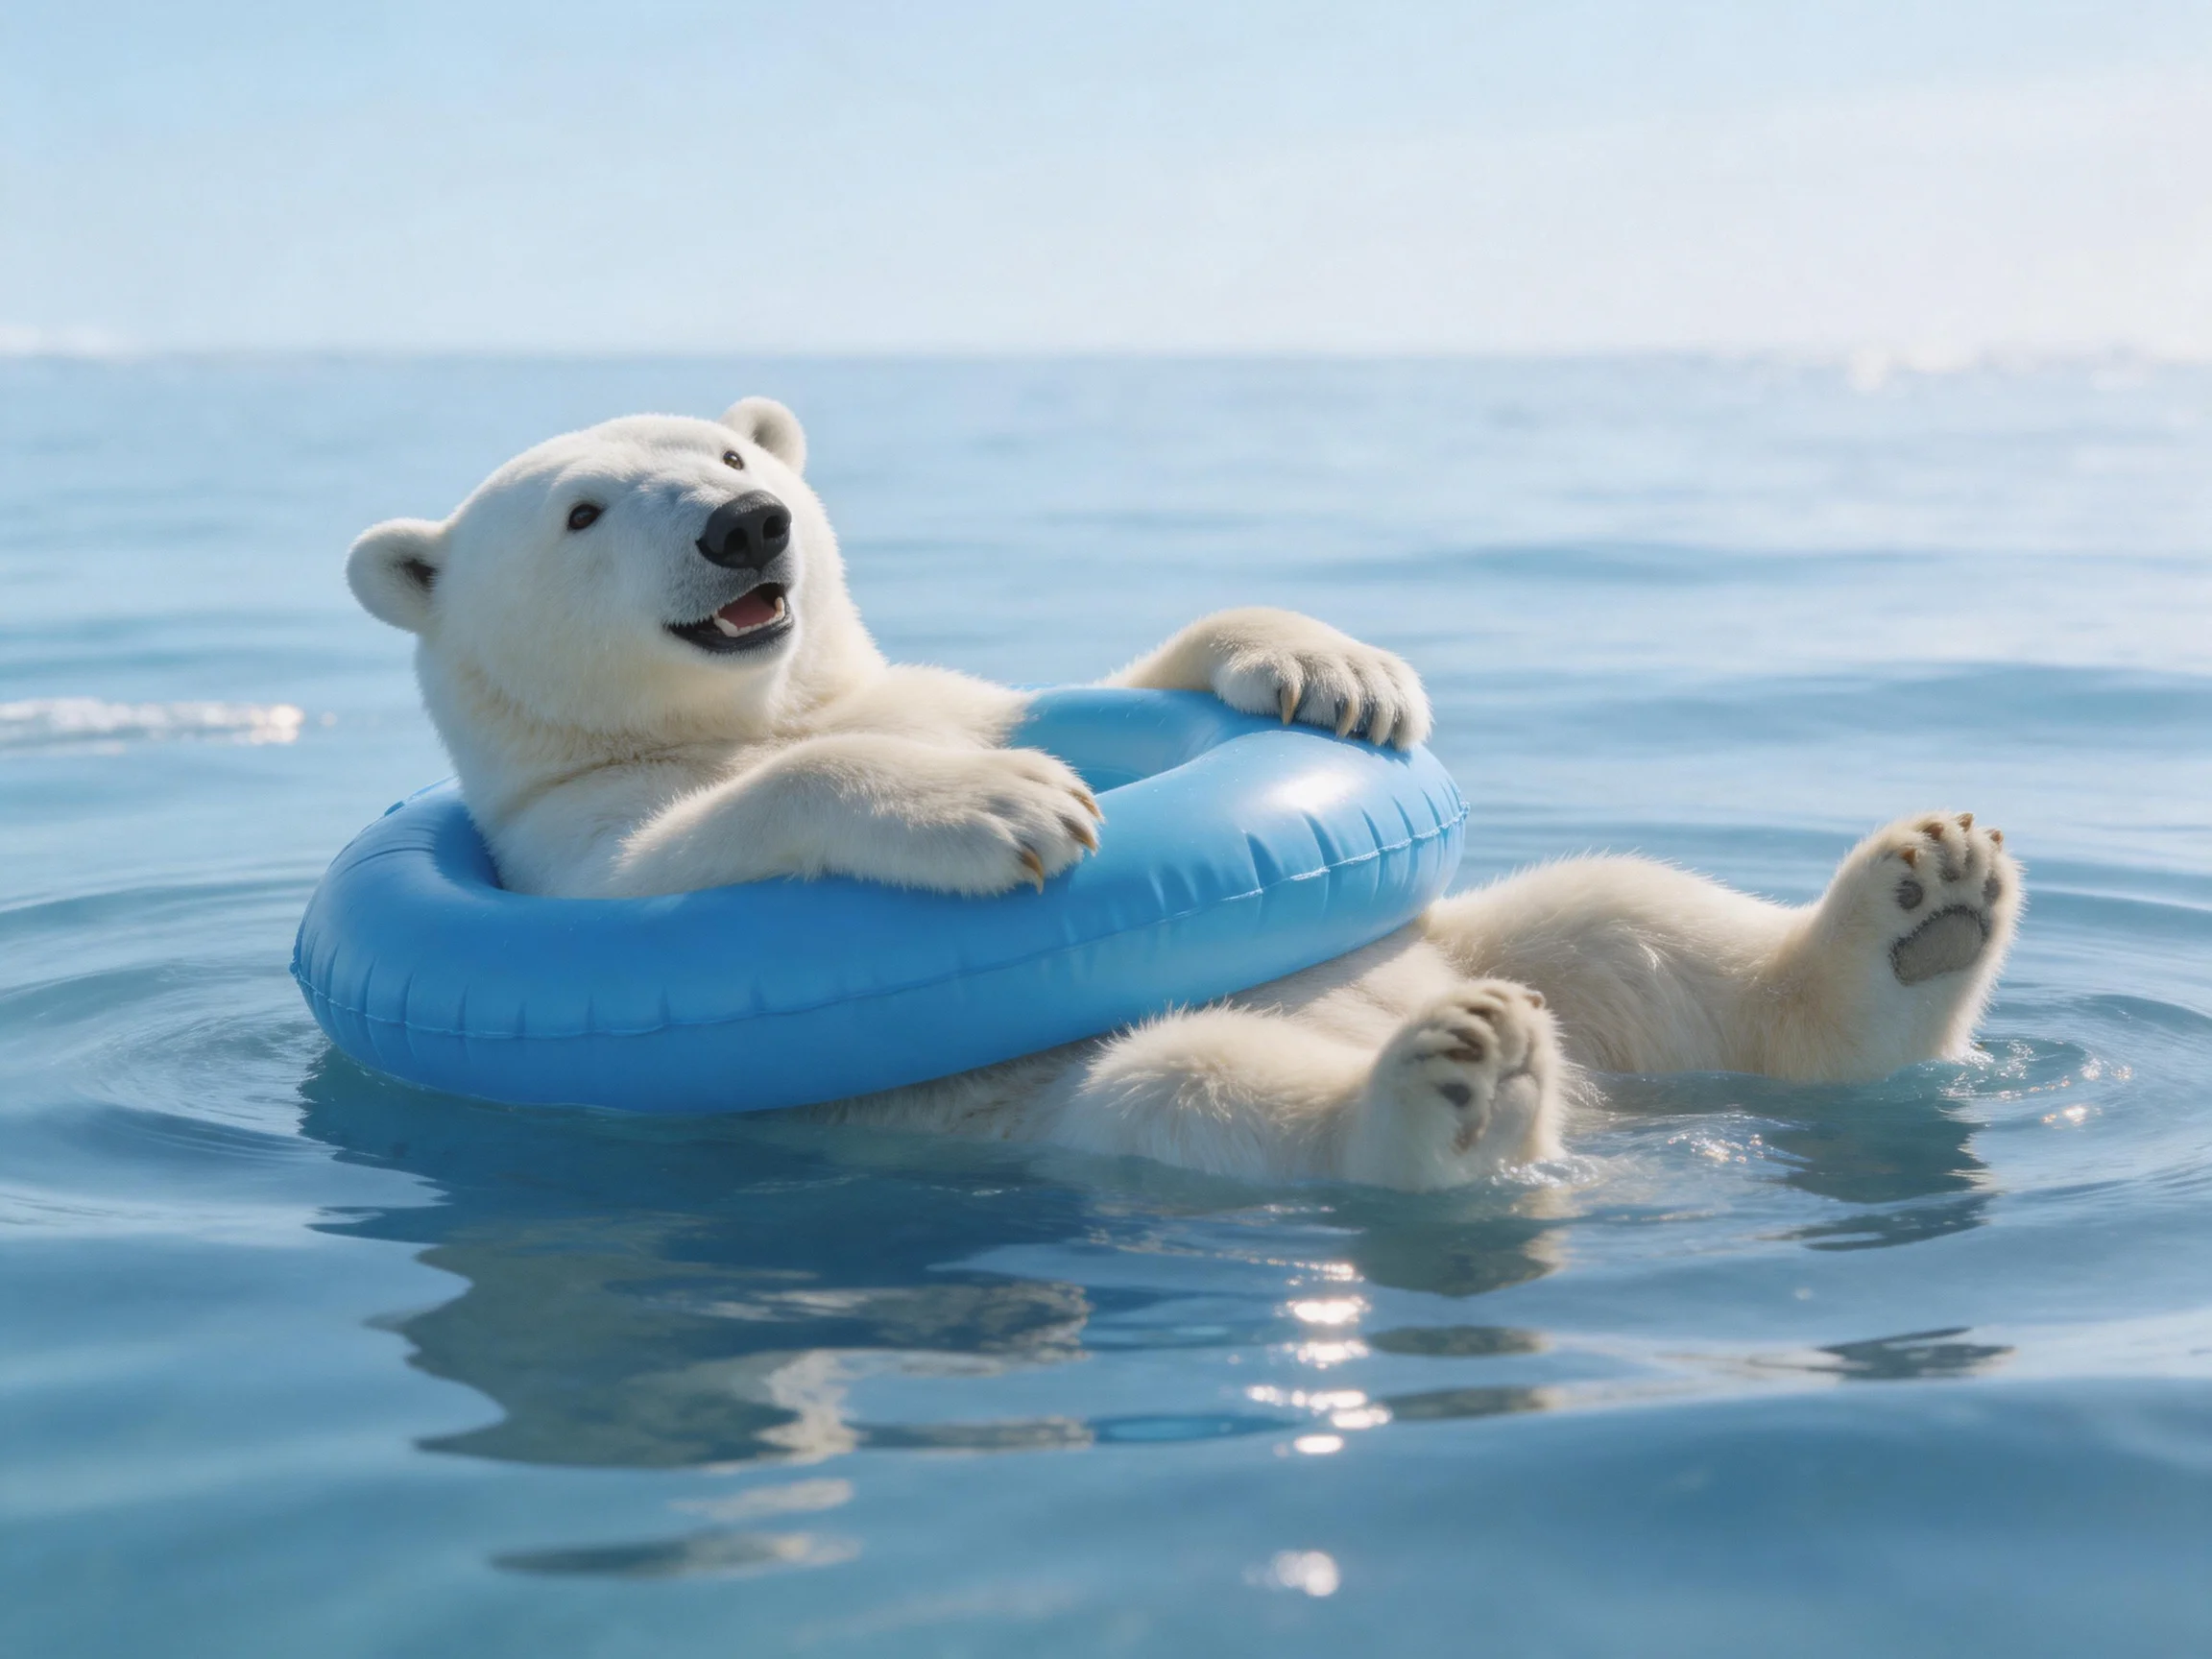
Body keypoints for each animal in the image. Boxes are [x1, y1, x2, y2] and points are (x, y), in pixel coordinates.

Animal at [346, 397, 2021, 1191]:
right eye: (583, 511)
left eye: (728, 454)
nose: (748, 529)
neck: (766, 701)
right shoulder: (567, 842)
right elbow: (684, 851)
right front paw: (1004, 810)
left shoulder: (937, 682)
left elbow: (1100, 677)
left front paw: (1333, 671)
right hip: (1056, 1103)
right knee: (1191, 1085)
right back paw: (1451, 1090)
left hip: (1489, 941)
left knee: (1621, 919)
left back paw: (1923, 903)